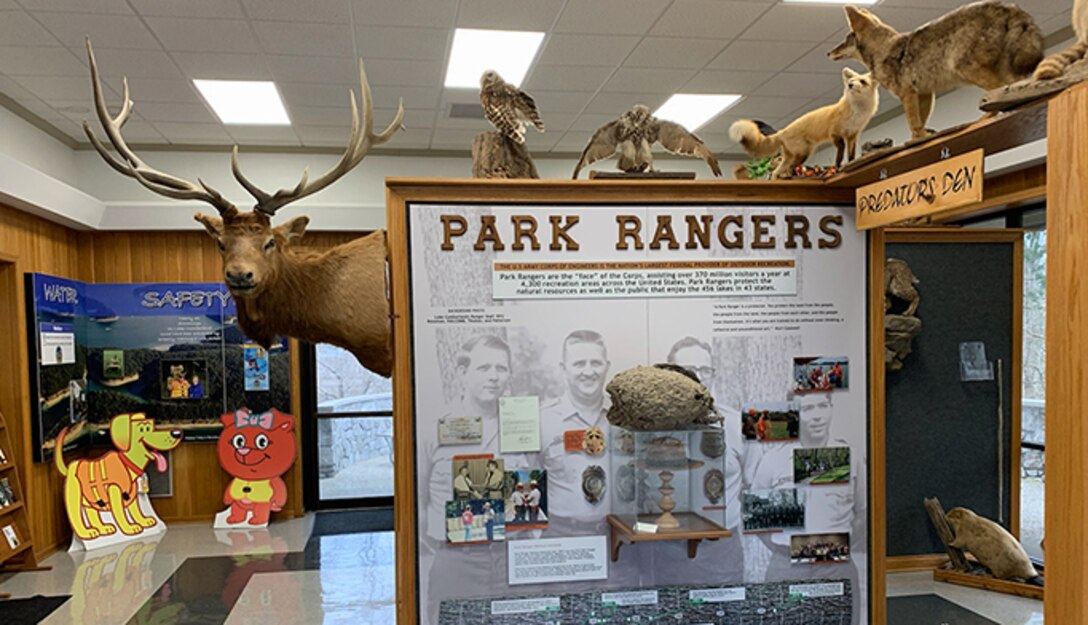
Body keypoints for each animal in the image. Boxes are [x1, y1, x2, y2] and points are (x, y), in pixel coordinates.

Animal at [726, 69, 879, 179]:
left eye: (862, 81)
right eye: (851, 81)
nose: (850, 85)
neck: (856, 112)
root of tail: (782, 131)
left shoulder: (853, 135)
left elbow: (851, 155)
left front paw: (850, 164)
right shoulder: (835, 133)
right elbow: (840, 154)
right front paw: (838, 167)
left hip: (793, 156)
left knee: (777, 172)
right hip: (802, 153)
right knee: (786, 170)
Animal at [826, 2, 1040, 139]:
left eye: (845, 40)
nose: (828, 52)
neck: (883, 51)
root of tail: (1007, 6)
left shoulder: (908, 93)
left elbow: (913, 123)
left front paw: (918, 138)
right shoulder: (924, 94)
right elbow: (918, 123)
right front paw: (918, 139)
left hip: (966, 69)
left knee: (998, 94)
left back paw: (983, 118)